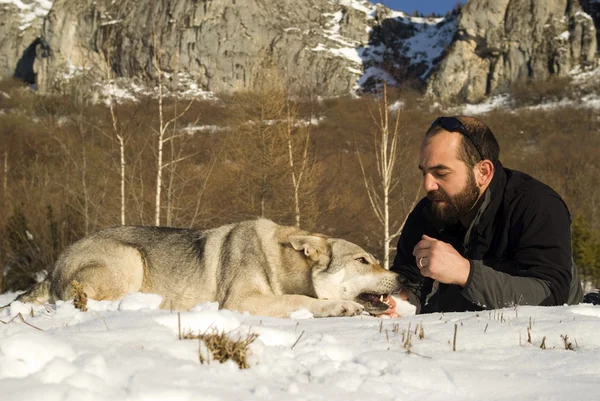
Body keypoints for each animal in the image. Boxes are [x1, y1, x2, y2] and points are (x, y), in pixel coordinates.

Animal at [9, 217, 406, 318]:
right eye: (363, 260)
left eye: (375, 259)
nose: (402, 276)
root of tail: (54, 266)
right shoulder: (241, 301)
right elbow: (300, 301)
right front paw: (339, 307)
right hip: (131, 259)